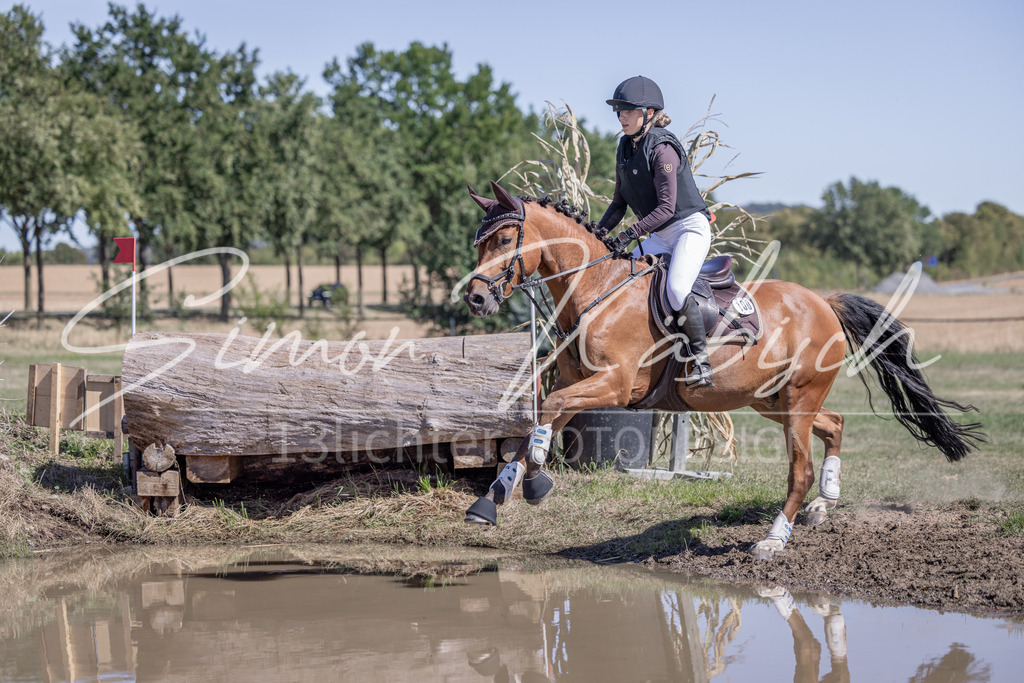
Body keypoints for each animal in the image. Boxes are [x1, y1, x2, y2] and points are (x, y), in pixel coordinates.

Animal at [461, 181, 985, 560]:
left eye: (504, 240)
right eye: (479, 242)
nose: (476, 298)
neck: (597, 290)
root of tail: (824, 302)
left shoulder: (613, 386)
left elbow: (547, 410)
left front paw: (534, 481)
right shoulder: (579, 384)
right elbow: (540, 419)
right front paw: (493, 497)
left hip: (797, 398)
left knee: (800, 469)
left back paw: (774, 538)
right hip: (772, 400)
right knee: (834, 424)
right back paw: (824, 503)